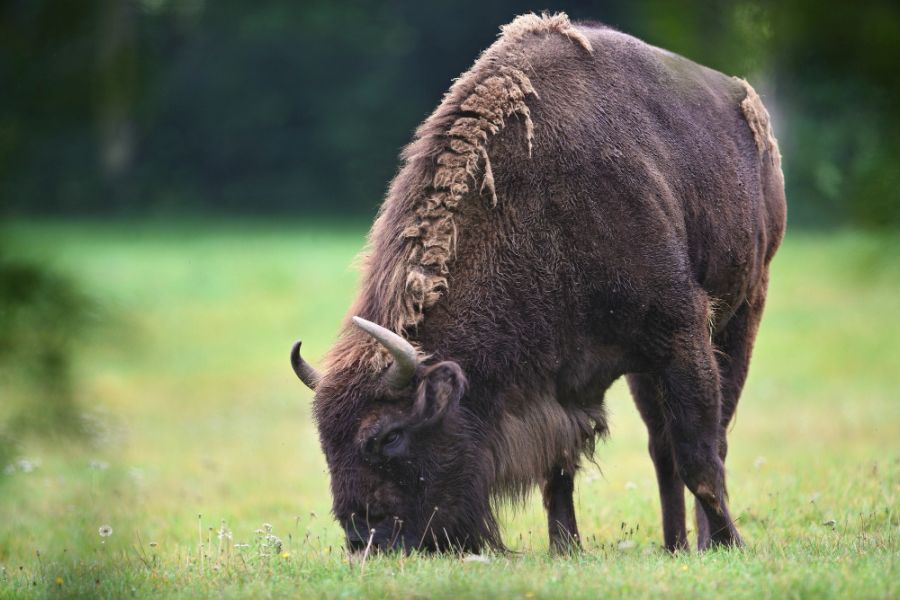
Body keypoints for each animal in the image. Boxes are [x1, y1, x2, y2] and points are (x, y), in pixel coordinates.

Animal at [292, 14, 784, 556]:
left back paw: (704, 542)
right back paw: (674, 543)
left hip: (741, 311)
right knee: (660, 448)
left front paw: (730, 544)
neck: (539, 206)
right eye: (325, 440)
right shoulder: (557, 379)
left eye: (389, 435)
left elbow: (699, 453)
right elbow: (559, 470)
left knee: (706, 439)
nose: (364, 538)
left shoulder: (681, 332)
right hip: (650, 369)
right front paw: (565, 547)